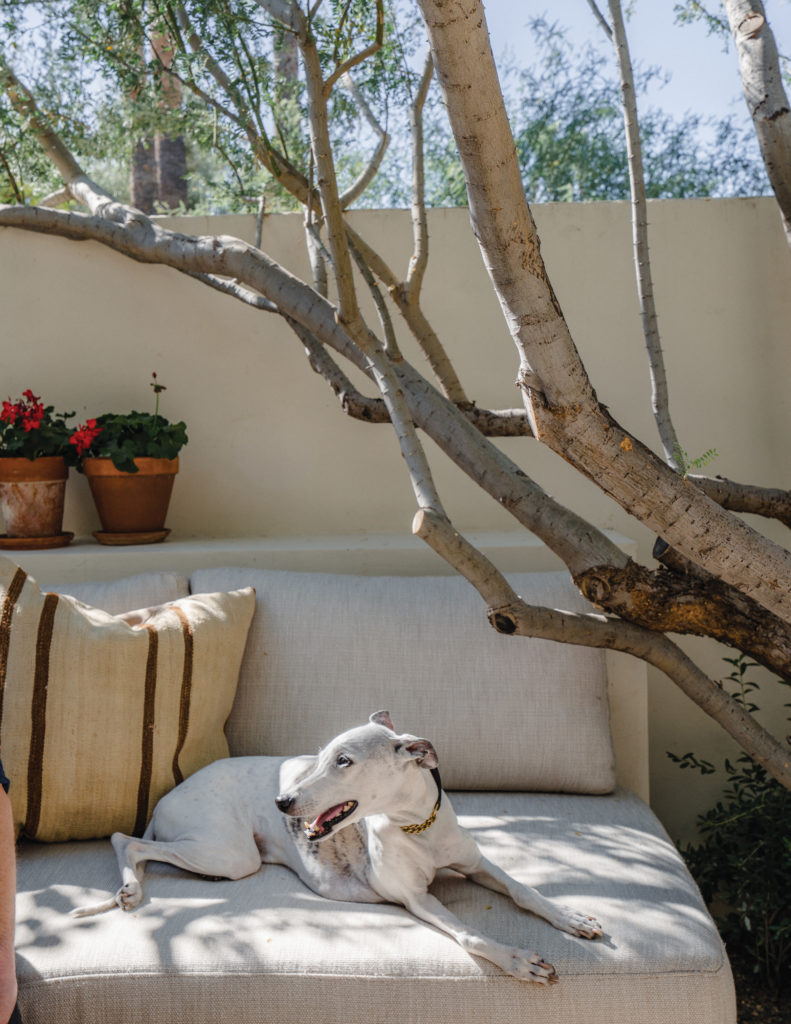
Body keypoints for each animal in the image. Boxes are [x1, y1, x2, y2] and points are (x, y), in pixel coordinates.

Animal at [75, 712, 606, 983]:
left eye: (344, 760)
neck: (419, 828)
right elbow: (472, 935)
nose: (282, 802)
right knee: (126, 840)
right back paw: (130, 890)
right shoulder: (416, 900)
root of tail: (167, 796)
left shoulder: (476, 863)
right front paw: (518, 961)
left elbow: (523, 890)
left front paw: (572, 918)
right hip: (229, 854)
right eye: (320, 756)